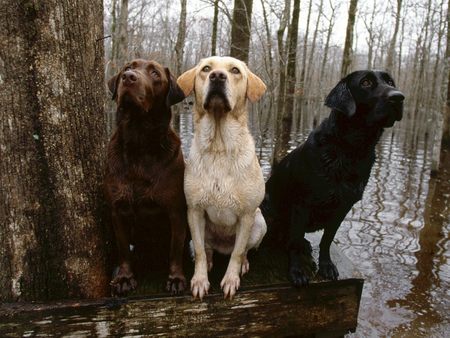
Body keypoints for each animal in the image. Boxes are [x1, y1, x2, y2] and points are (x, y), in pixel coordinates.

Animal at [260, 70, 404, 286]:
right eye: (366, 82)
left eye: (390, 81)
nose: (399, 97)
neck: (349, 149)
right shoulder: (301, 204)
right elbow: (294, 242)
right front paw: (297, 270)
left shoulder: (343, 207)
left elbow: (327, 240)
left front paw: (326, 265)